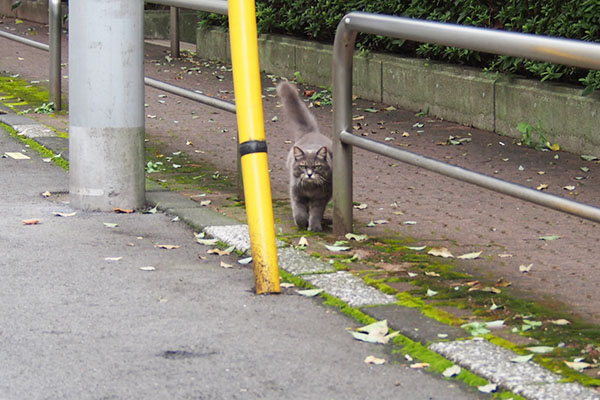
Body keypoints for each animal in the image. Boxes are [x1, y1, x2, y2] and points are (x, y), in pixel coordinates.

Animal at [276, 81, 332, 231]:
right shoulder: (297, 194)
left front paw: (314, 227)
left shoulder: (321, 197)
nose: (309, 174)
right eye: (303, 166)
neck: (310, 189)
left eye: (317, 167)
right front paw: (302, 224)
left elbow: (316, 212)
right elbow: (299, 212)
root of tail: (311, 132)